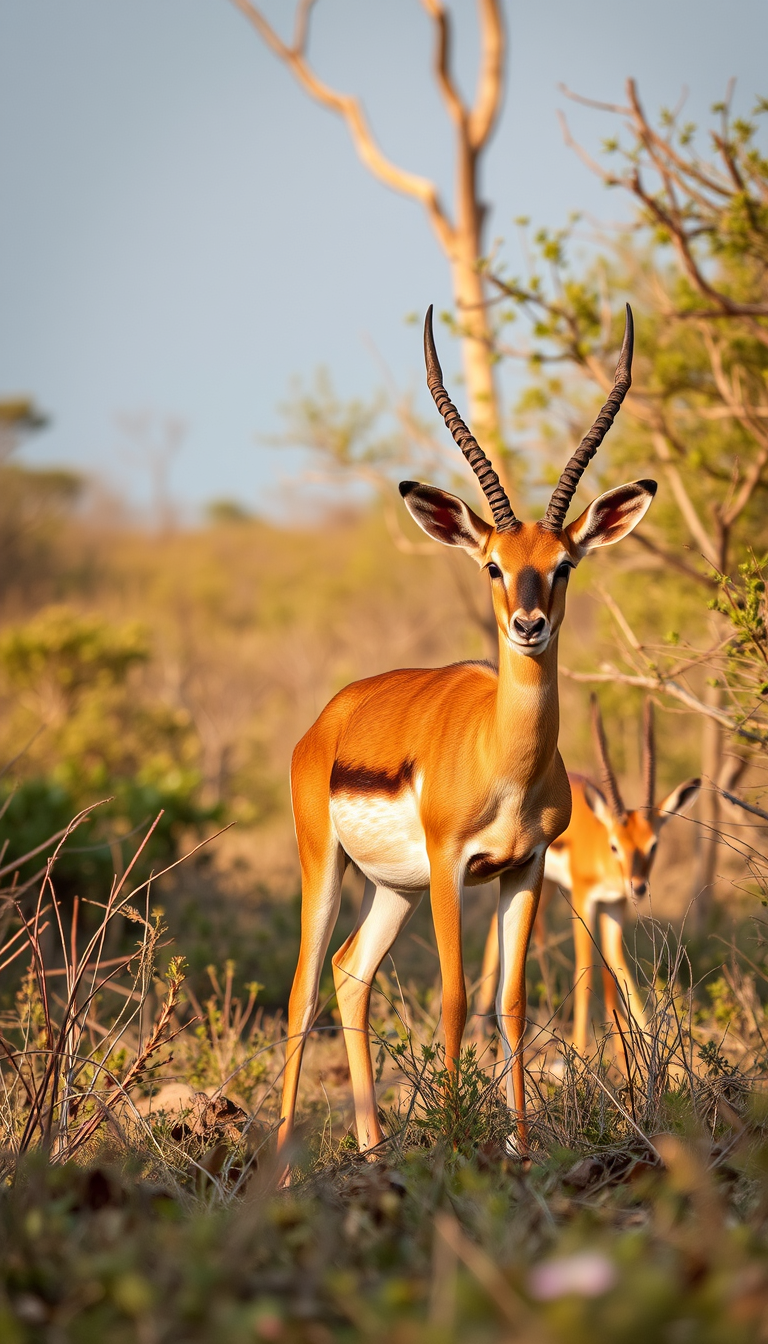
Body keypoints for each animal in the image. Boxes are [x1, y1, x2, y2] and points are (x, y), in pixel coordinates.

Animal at [279, 303, 657, 1164]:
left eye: (565, 564)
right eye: (492, 564)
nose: (529, 625)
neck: (505, 761)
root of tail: (330, 717)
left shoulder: (523, 870)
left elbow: (511, 1004)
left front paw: (520, 1150)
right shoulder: (454, 868)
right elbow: (455, 999)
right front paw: (456, 1143)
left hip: (394, 888)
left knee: (351, 975)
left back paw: (373, 1151)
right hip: (328, 867)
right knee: (302, 990)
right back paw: (281, 1170)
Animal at [476, 698, 700, 1054]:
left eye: (653, 844)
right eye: (615, 845)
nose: (638, 887)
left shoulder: (615, 906)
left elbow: (618, 964)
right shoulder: (584, 901)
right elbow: (584, 967)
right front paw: (580, 1053)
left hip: (546, 886)